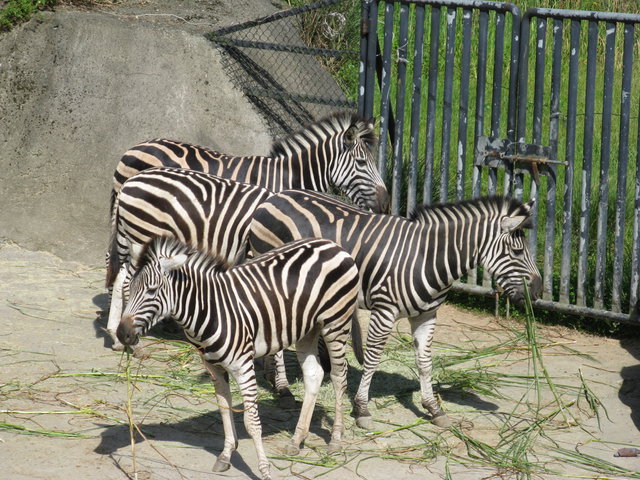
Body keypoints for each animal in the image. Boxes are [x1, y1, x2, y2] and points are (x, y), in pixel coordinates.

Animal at [104, 168, 272, 348]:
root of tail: (128, 182)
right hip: (142, 238)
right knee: (128, 284)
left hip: (126, 237)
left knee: (119, 278)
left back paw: (116, 337)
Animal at [117, 236, 362, 480]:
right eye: (130, 288)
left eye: (151, 290)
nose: (122, 334)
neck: (209, 310)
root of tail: (330, 243)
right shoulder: (213, 368)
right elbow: (225, 409)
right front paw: (226, 455)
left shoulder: (243, 366)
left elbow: (251, 422)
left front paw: (264, 470)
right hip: (307, 329)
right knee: (314, 374)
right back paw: (296, 440)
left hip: (336, 324)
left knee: (339, 377)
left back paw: (335, 440)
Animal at [248, 190, 544, 428]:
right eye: (518, 252)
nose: (539, 292)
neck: (428, 257)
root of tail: (276, 196)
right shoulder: (384, 310)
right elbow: (372, 358)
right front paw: (362, 409)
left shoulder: (427, 315)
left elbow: (424, 362)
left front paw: (433, 409)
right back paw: (284, 390)